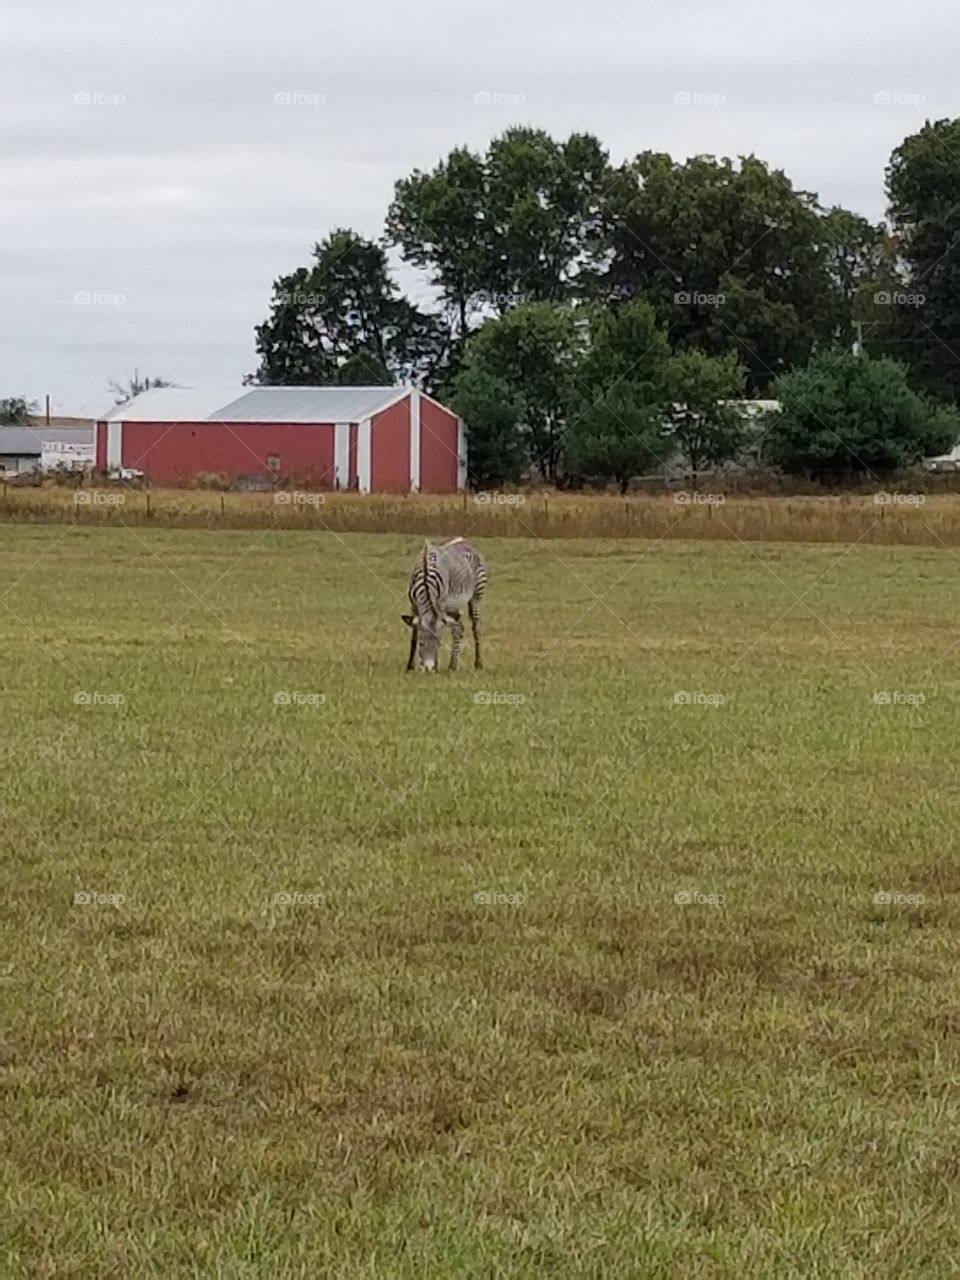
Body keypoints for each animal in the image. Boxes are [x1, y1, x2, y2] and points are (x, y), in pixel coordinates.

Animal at [402, 537, 487, 673]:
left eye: (439, 644)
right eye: (421, 643)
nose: (429, 668)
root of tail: (463, 540)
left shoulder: (441, 607)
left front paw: (435, 667)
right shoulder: (413, 606)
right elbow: (414, 635)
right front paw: (410, 666)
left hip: (476, 596)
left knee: (475, 627)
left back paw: (477, 663)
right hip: (455, 605)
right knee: (459, 628)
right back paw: (453, 665)